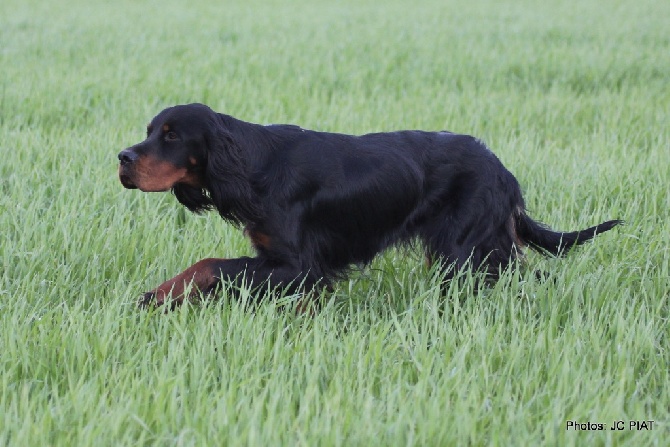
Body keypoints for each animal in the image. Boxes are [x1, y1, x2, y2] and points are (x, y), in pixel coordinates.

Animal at [118, 104, 624, 308]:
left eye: (172, 136)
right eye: (149, 131)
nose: (122, 158)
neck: (253, 166)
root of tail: (502, 170)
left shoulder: (298, 265)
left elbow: (207, 265)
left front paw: (154, 298)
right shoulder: (294, 268)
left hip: (465, 252)